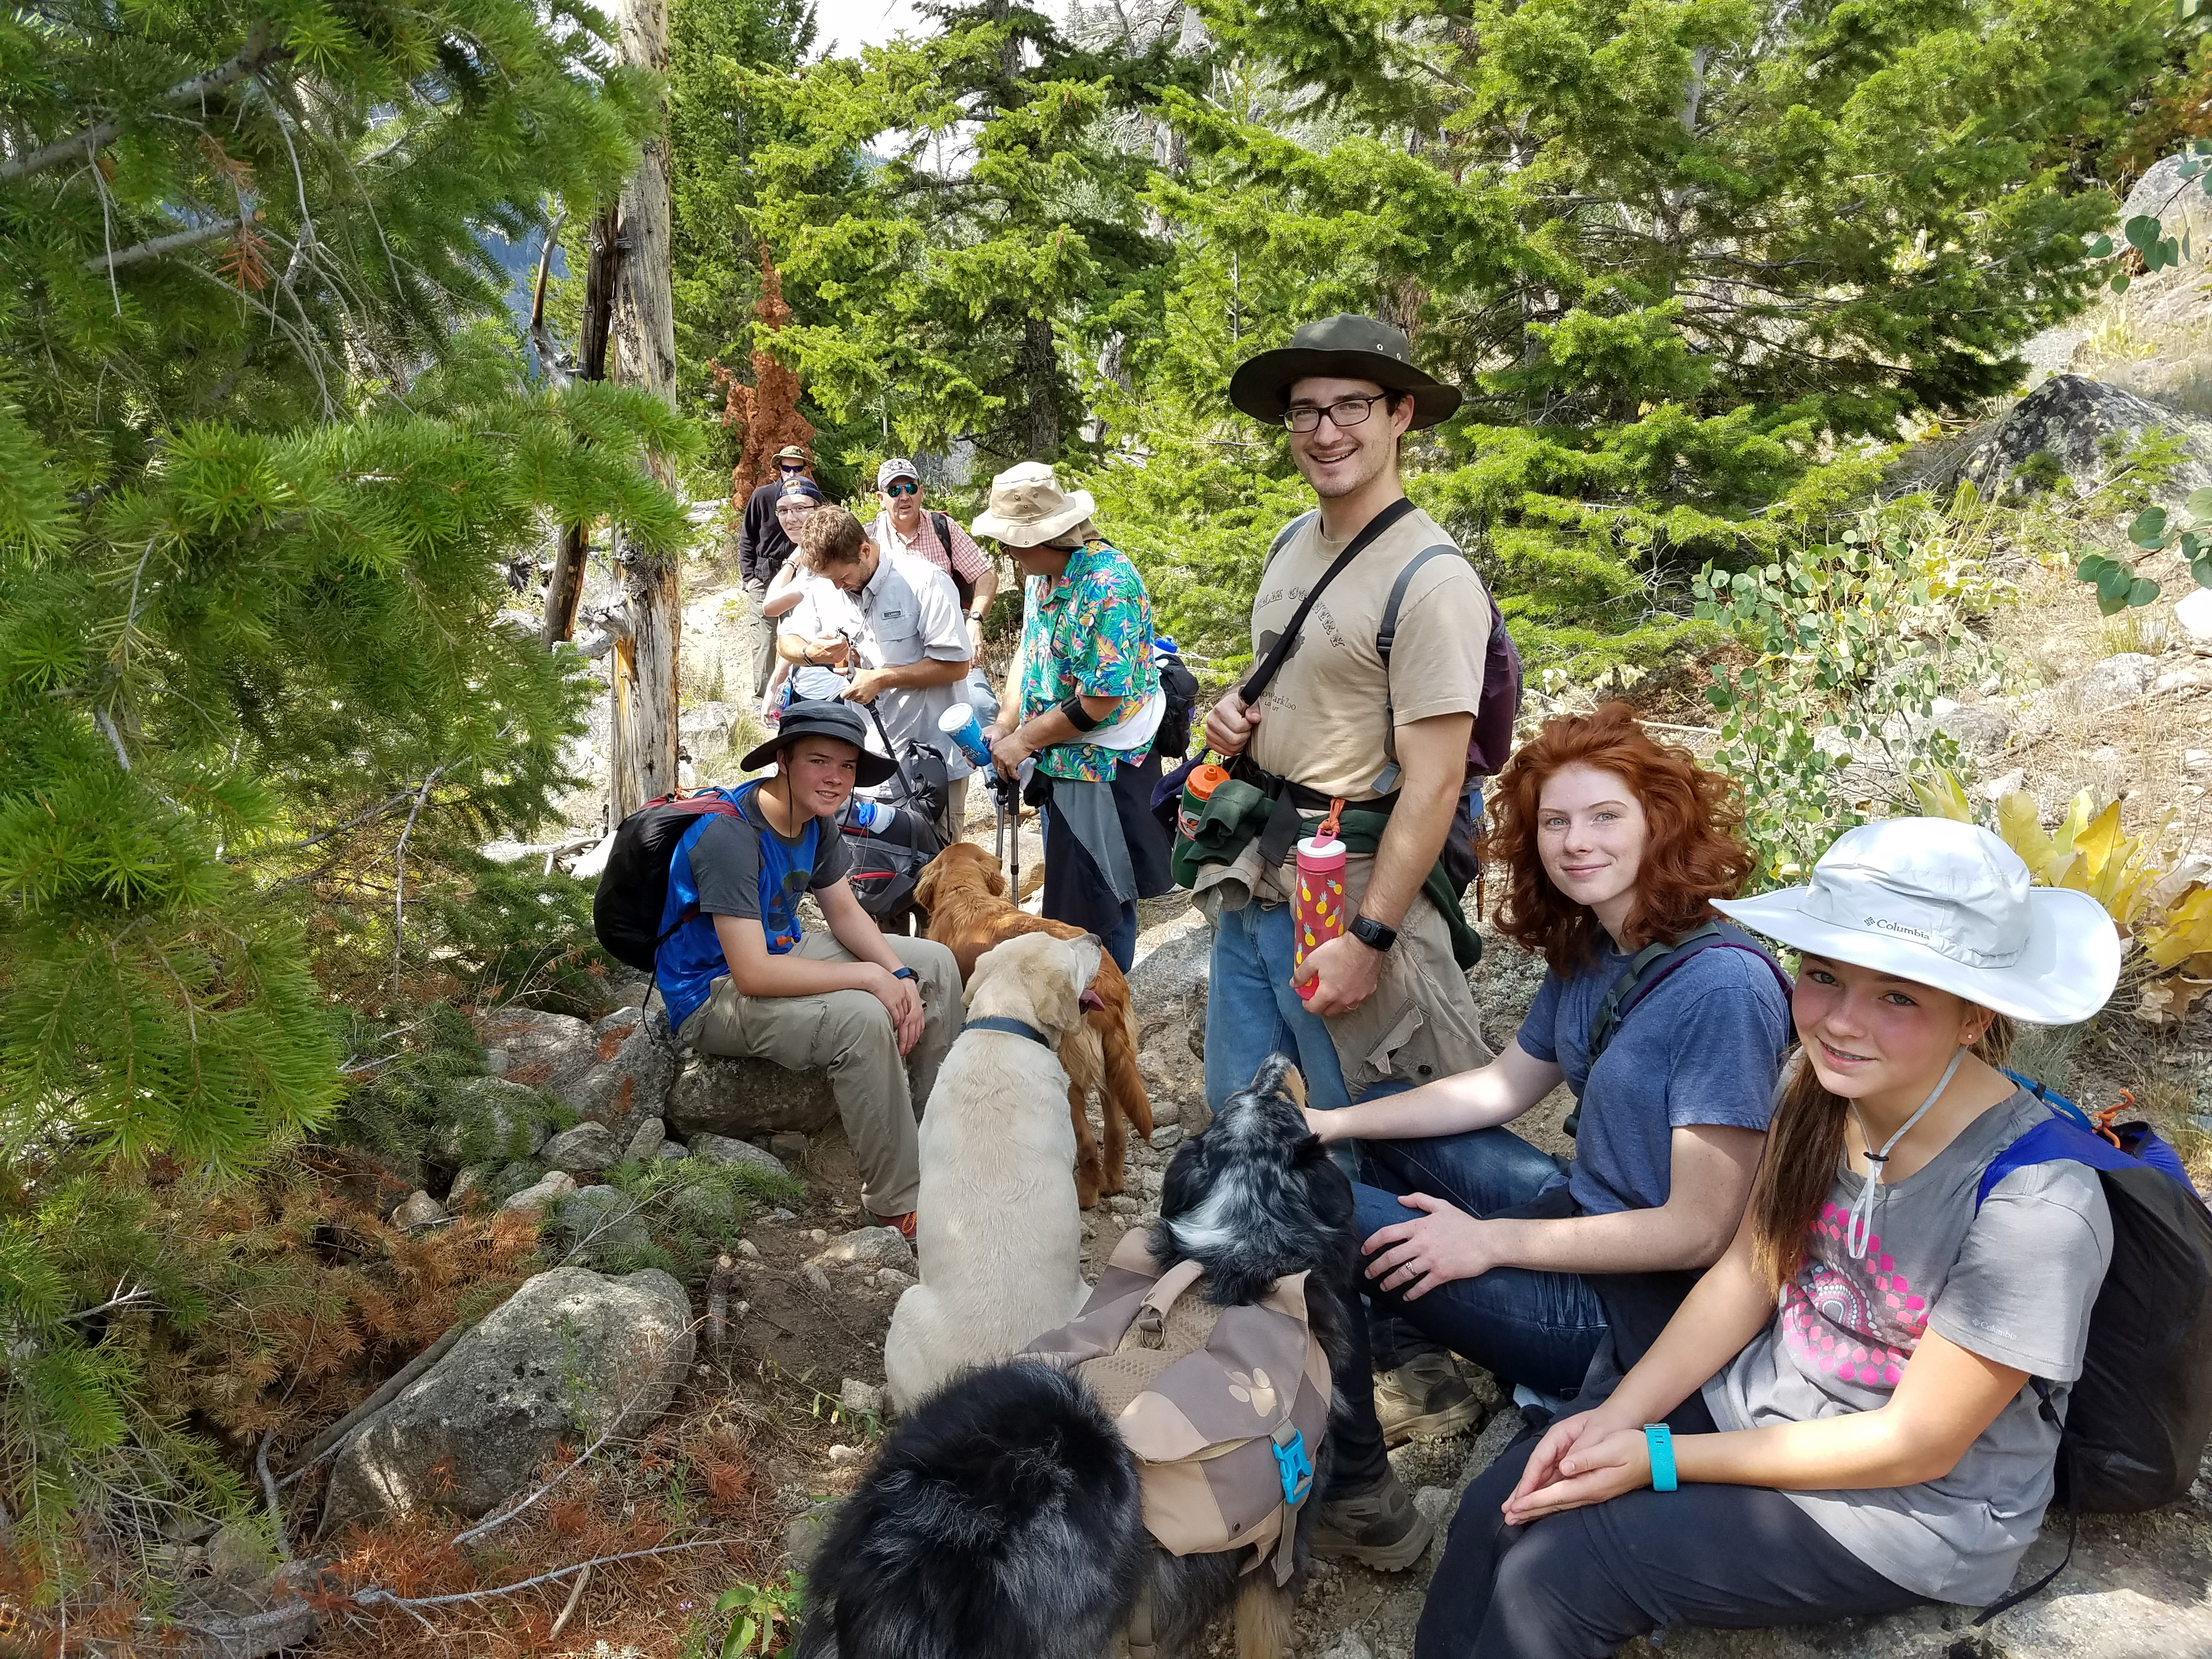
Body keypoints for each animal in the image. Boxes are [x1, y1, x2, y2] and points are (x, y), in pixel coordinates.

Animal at [787, 1057, 1353, 1654]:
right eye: (1279, 1103)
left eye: (1239, 1101)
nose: (1275, 1060)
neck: (1236, 1248)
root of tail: (908, 1576)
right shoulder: (1285, 1530)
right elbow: (1263, 1630)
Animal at [916, 845, 1159, 1212]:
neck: (965, 893)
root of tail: (1106, 983)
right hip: (1114, 1064)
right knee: (1115, 1131)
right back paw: (1113, 1183)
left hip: (1067, 1076)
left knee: (1087, 1146)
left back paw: (1085, 1196)